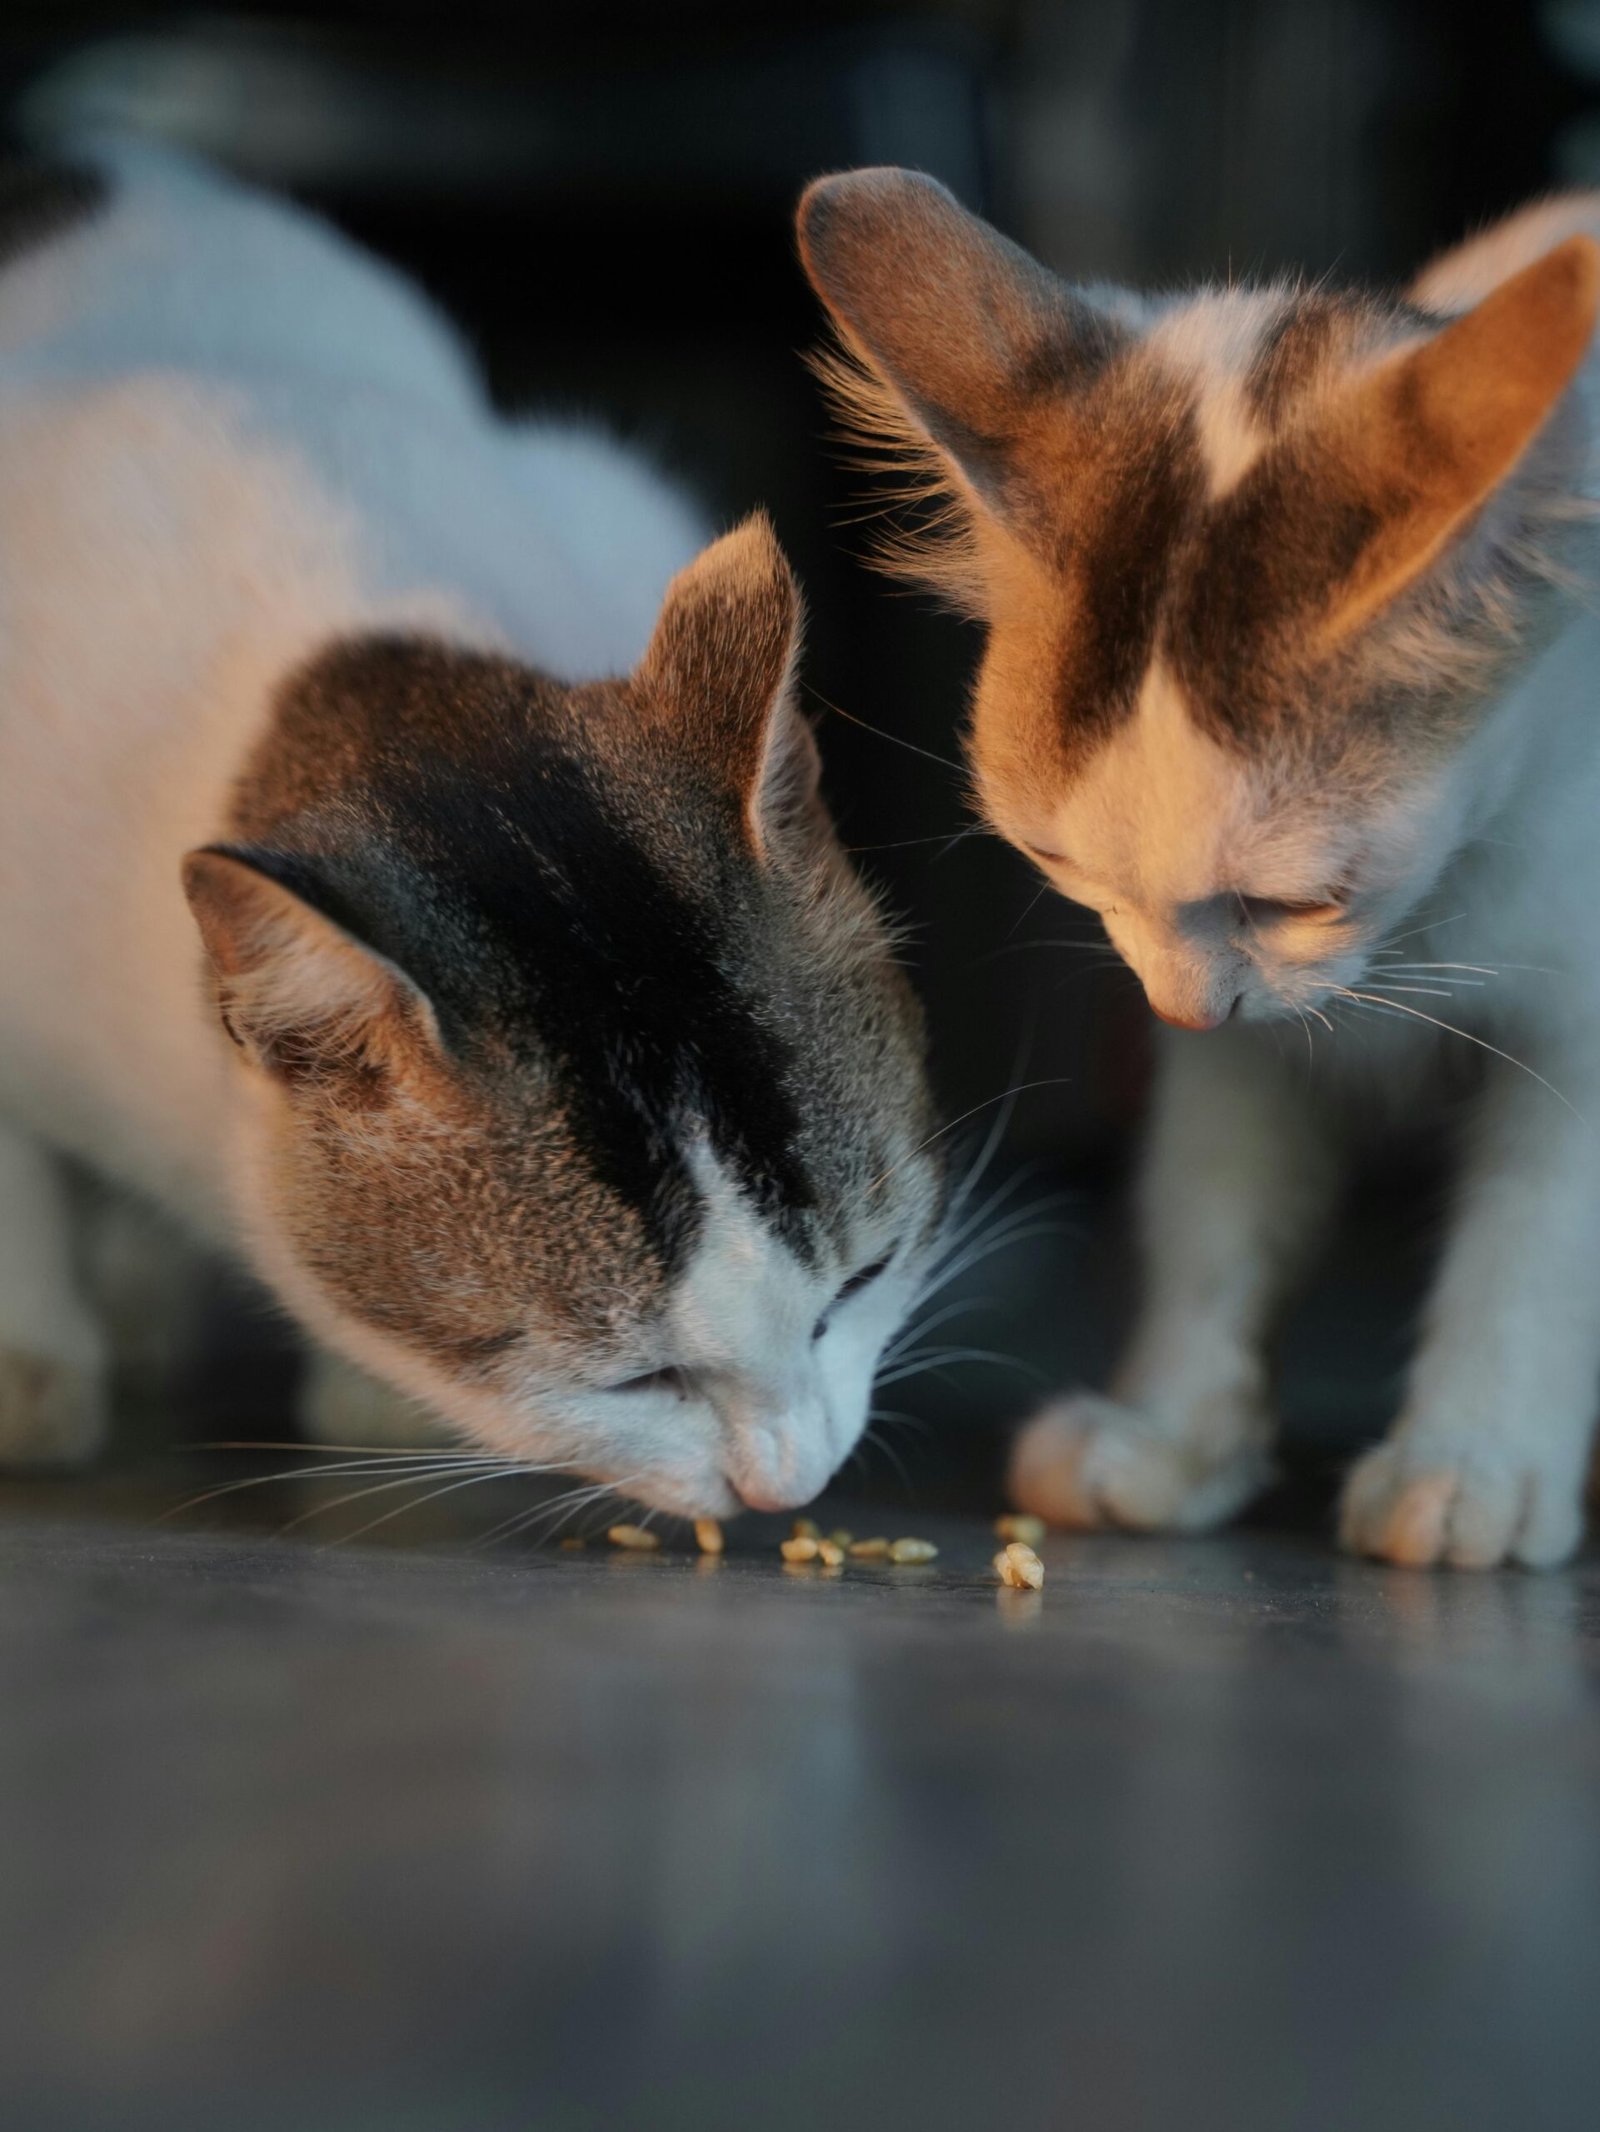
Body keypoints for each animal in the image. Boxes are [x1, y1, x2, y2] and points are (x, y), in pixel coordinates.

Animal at [806, 162, 1600, 1569]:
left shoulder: (1579, 1023)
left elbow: (1537, 1232)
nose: (1179, 1007)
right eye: (1060, 862)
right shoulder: (1244, 1049)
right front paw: (1174, 1432)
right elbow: (1215, 1208)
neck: (1430, 922)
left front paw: (1474, 1458)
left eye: (1296, 899)